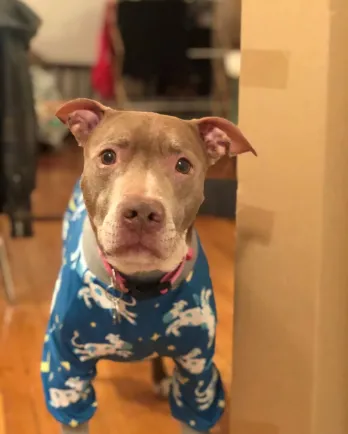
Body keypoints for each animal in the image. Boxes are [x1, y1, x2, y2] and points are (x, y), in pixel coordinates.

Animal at [40, 98, 256, 434]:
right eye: (108, 156)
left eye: (183, 165)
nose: (141, 211)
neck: (139, 283)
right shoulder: (64, 374)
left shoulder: (198, 373)